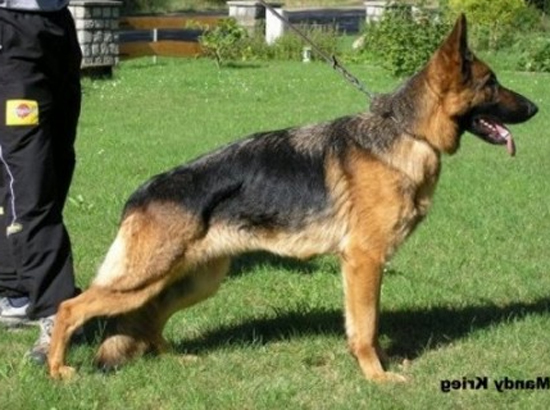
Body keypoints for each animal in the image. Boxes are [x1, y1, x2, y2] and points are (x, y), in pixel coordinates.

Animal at [48, 14, 538, 381]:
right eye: (492, 84)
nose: (535, 108)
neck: (407, 133)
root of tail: (141, 193)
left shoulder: (363, 265)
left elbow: (367, 324)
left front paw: (376, 368)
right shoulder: (363, 260)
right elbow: (366, 327)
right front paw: (376, 377)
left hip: (194, 280)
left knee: (150, 316)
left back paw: (173, 360)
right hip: (141, 279)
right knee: (71, 307)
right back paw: (58, 371)